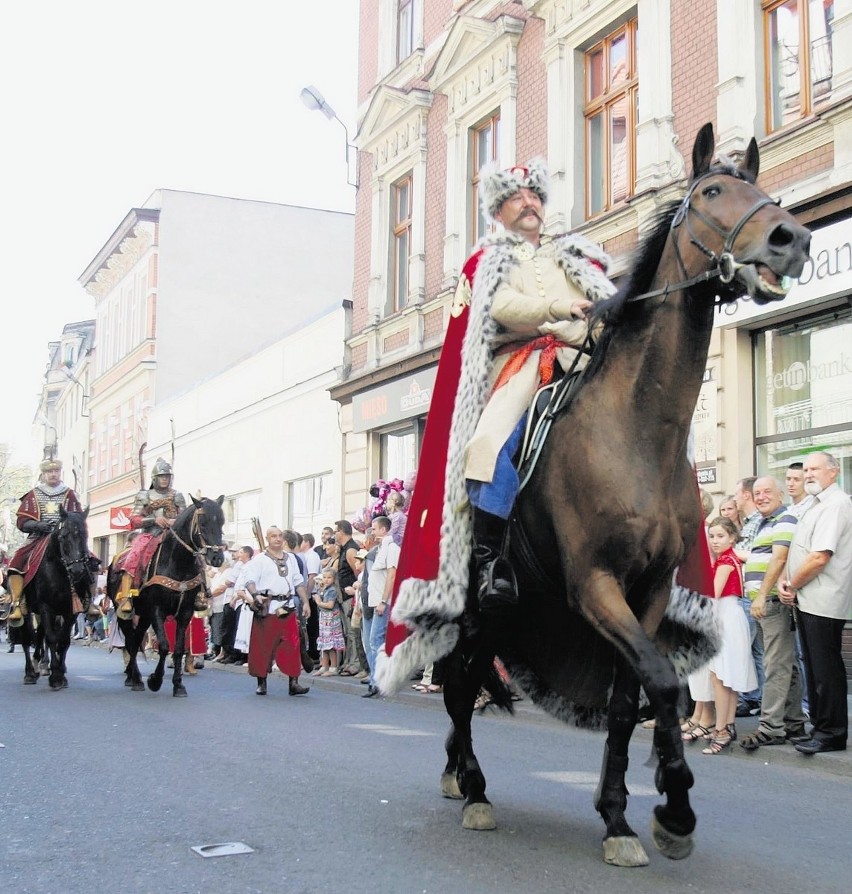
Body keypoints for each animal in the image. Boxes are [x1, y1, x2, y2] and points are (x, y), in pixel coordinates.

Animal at [19, 508, 90, 688]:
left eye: (85, 535)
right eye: (63, 536)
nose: (77, 571)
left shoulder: (70, 611)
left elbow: (63, 640)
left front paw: (60, 672)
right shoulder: (46, 607)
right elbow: (51, 637)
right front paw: (56, 676)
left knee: (40, 633)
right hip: (25, 608)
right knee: (27, 637)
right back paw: (30, 672)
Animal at [113, 496, 226, 700]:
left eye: (221, 522)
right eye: (203, 523)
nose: (217, 558)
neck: (177, 562)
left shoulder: (185, 613)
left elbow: (179, 649)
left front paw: (178, 685)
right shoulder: (157, 611)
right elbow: (165, 646)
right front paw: (155, 680)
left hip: (144, 616)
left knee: (136, 640)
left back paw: (135, 678)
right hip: (125, 615)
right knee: (131, 642)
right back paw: (135, 679)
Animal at [440, 124, 812, 868]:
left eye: (764, 191)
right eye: (713, 191)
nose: (792, 239)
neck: (640, 430)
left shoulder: (650, 591)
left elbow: (627, 700)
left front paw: (621, 817)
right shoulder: (594, 584)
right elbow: (664, 683)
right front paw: (673, 806)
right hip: (474, 610)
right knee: (461, 686)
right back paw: (472, 789)